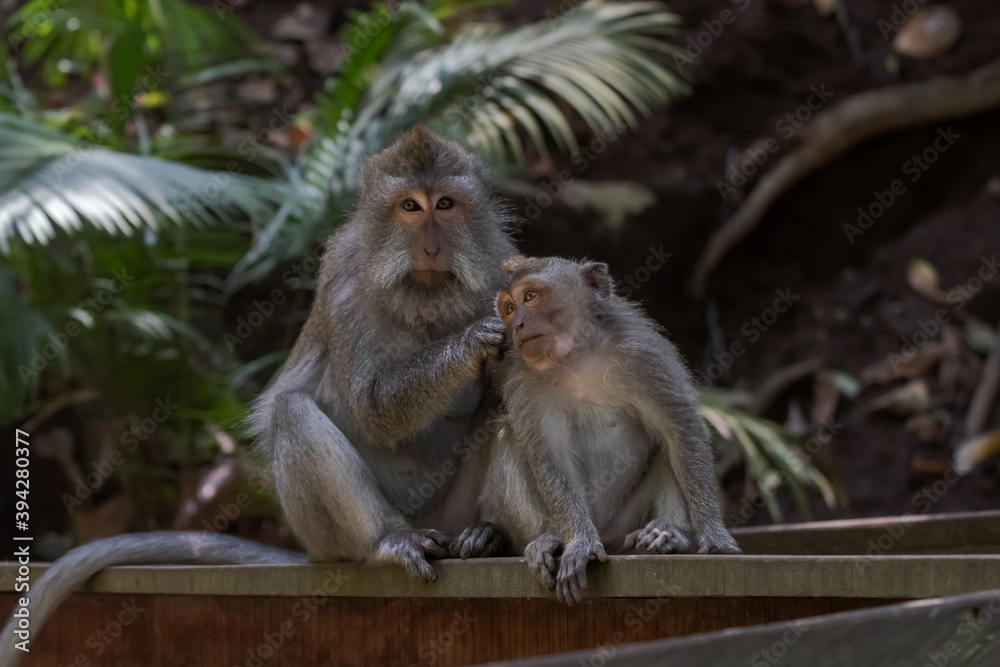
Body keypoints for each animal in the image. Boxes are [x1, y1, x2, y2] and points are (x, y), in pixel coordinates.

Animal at [0, 126, 518, 664]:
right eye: (410, 207)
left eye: (446, 203)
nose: (433, 248)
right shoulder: (344, 274)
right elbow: (372, 407)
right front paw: (473, 342)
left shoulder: (499, 268)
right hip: (325, 536)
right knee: (293, 413)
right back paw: (387, 542)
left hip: (450, 513)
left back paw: (487, 533)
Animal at [452, 256, 741, 606]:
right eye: (508, 308)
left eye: (530, 297)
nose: (517, 324)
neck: (577, 358)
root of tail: (606, 532)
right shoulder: (525, 381)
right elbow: (550, 457)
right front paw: (580, 542)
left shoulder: (643, 356)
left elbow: (680, 431)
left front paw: (714, 534)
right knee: (510, 436)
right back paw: (547, 538)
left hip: (625, 522)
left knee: (666, 447)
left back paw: (669, 534)